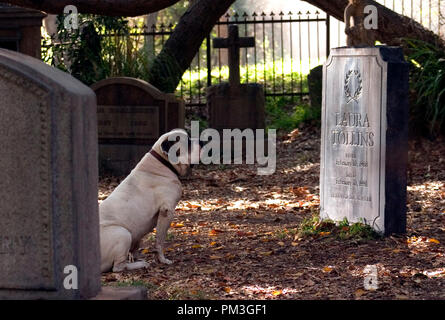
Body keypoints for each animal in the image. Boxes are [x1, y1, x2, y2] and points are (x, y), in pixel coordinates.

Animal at [101, 130, 199, 272]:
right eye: (188, 142)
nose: (202, 141)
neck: (162, 163)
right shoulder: (166, 212)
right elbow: (160, 240)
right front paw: (162, 259)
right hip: (123, 234)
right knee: (118, 267)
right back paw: (140, 264)